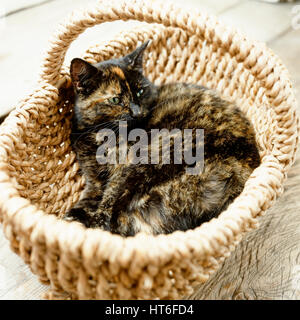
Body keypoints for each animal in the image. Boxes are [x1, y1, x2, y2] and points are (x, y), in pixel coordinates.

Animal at [63, 40, 260, 236]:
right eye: (115, 100)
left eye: (140, 92)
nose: (137, 112)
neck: (99, 137)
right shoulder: (93, 178)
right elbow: (90, 195)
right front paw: (73, 215)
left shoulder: (122, 170)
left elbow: (109, 199)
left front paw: (90, 220)